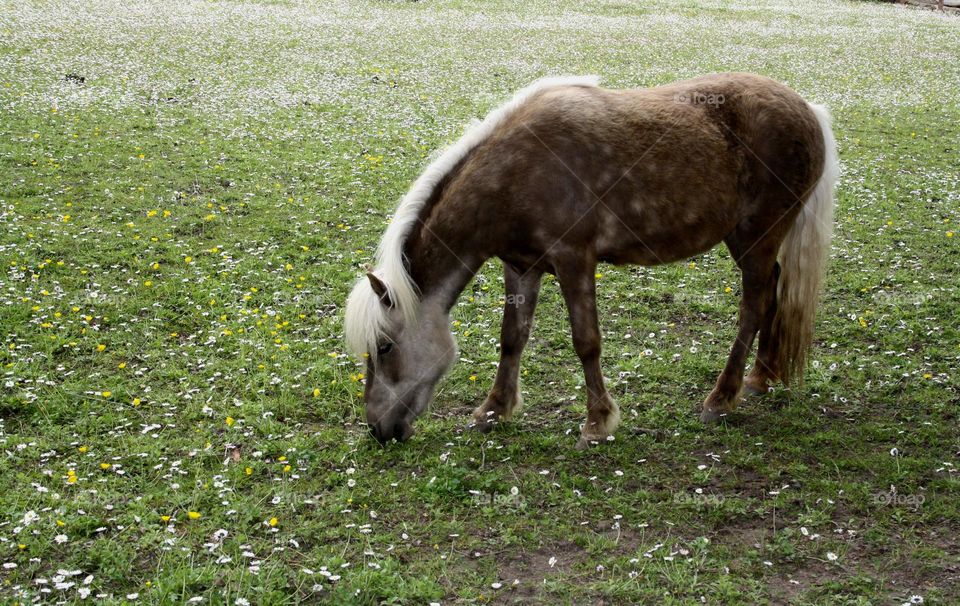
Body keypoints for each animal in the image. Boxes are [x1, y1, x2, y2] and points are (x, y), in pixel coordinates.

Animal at [344, 72, 838, 448]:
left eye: (384, 347)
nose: (378, 429)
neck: (516, 173)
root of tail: (808, 110)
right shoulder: (521, 266)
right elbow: (512, 339)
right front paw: (494, 410)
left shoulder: (574, 260)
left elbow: (586, 342)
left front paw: (597, 422)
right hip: (748, 242)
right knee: (773, 292)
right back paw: (760, 378)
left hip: (757, 238)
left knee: (753, 307)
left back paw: (722, 398)